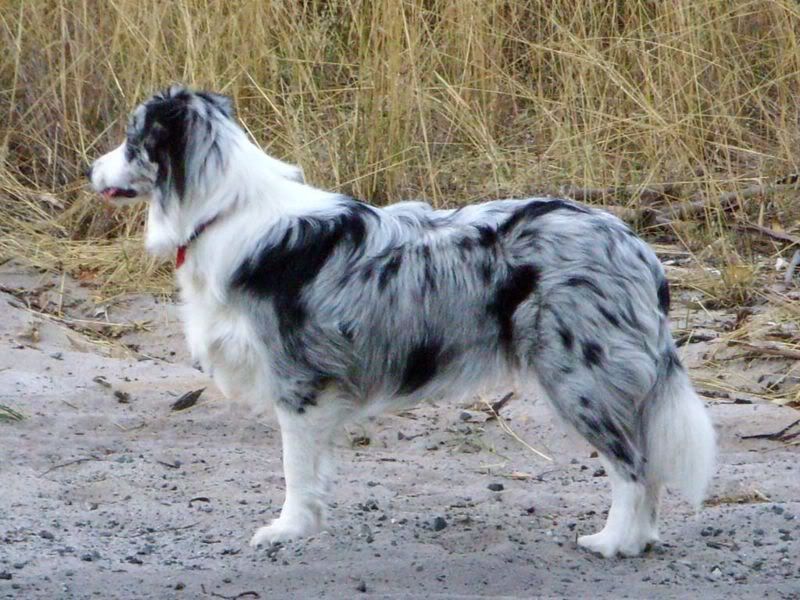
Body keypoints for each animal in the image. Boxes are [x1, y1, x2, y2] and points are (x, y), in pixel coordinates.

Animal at [89, 84, 720, 556]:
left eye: (131, 139)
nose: (90, 169)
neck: (223, 213)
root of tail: (638, 248)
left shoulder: (297, 382)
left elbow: (295, 470)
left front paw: (287, 530)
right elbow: (315, 471)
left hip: (579, 377)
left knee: (634, 466)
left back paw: (615, 542)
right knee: (647, 468)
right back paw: (639, 539)